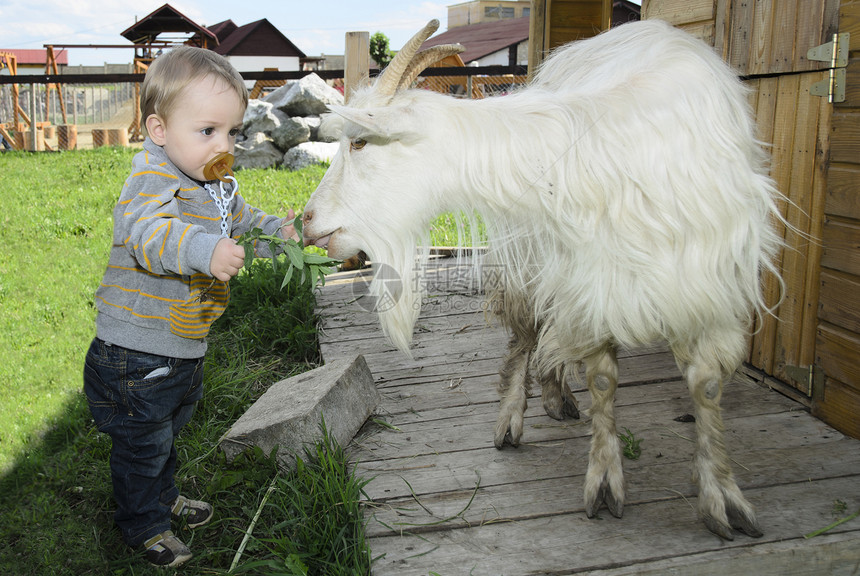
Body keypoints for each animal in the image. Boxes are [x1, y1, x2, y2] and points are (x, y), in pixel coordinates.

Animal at [304, 18, 788, 540]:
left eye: (359, 141)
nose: (306, 221)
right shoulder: (587, 280)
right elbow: (603, 379)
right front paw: (605, 480)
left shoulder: (706, 287)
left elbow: (706, 387)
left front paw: (724, 497)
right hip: (536, 263)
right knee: (527, 336)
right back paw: (517, 416)